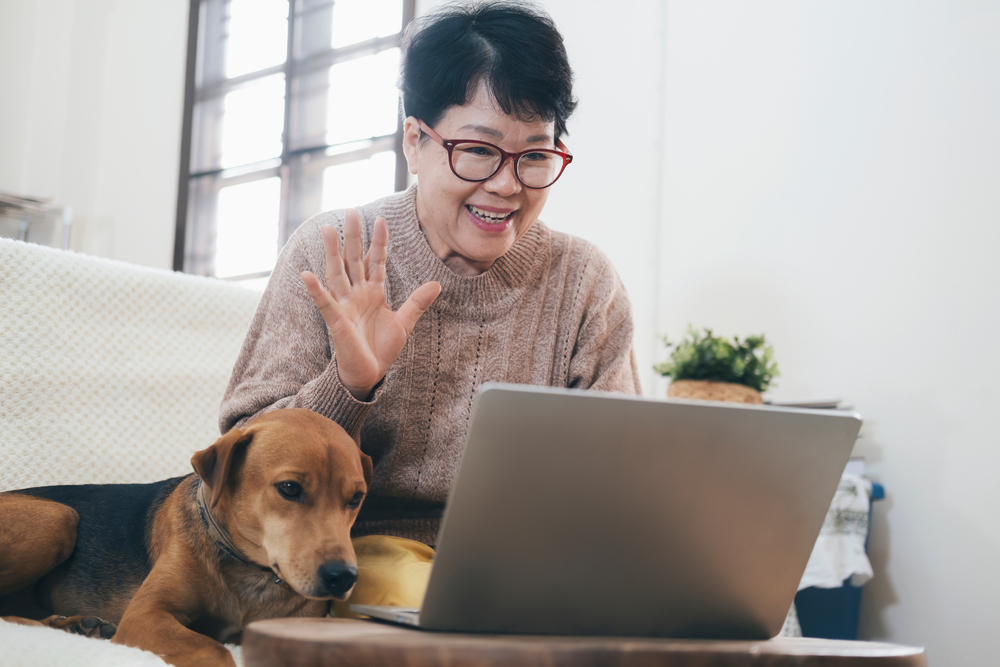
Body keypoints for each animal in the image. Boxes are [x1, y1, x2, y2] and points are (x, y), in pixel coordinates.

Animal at [0, 410, 372, 664]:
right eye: (290, 488)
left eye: (356, 499)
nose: (343, 577)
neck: (252, 571)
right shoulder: (146, 615)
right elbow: (213, 648)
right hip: (58, 519)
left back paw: (76, 625)